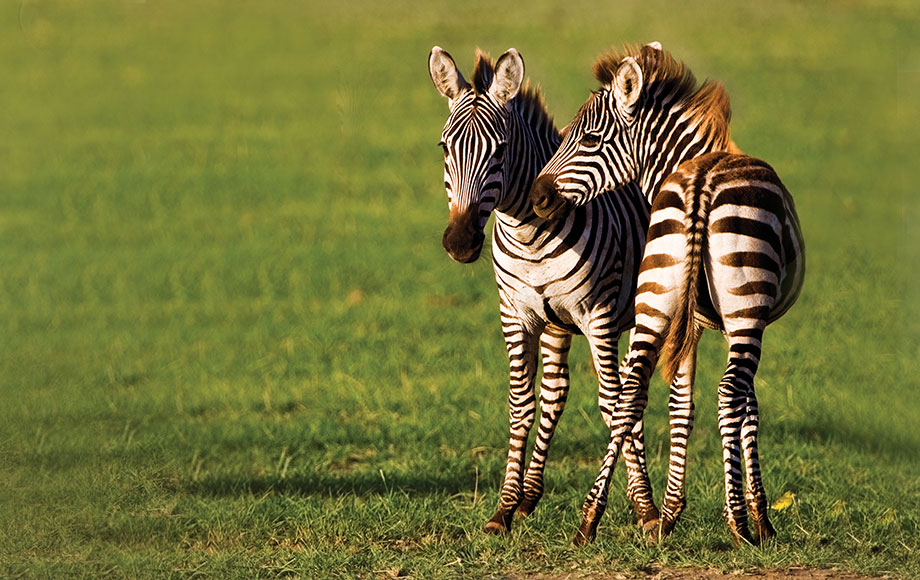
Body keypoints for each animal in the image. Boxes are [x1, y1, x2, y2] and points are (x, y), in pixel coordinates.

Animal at [428, 46, 656, 536]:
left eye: (500, 150)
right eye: (444, 147)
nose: (460, 242)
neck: (528, 232)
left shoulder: (597, 315)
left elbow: (612, 404)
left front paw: (642, 510)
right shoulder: (516, 314)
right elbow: (522, 404)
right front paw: (505, 507)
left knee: (634, 394)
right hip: (556, 324)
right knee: (557, 391)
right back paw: (530, 495)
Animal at [528, 43, 800, 548]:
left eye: (588, 139)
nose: (536, 197)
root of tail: (702, 182)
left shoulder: (688, 322)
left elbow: (681, 405)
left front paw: (671, 512)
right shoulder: (742, 323)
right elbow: (747, 408)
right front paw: (759, 517)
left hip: (657, 297)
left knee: (630, 392)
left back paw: (591, 519)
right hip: (744, 312)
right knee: (729, 393)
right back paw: (739, 524)